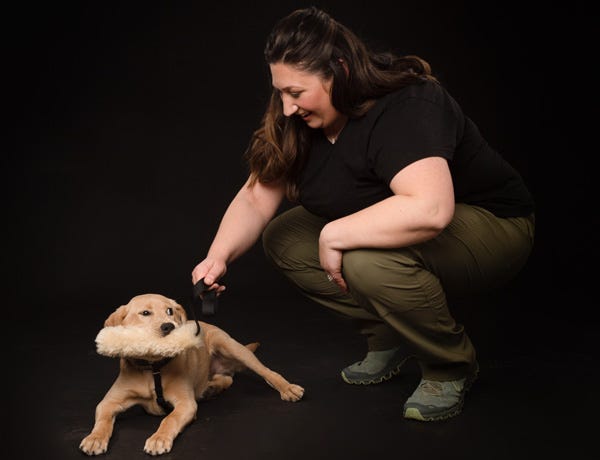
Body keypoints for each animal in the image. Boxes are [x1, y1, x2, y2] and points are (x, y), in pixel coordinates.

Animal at [79, 292, 304, 454]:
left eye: (170, 311)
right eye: (145, 313)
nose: (169, 326)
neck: (154, 369)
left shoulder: (185, 404)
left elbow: (169, 419)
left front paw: (159, 438)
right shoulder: (109, 402)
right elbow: (103, 420)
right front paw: (94, 438)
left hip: (232, 347)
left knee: (266, 372)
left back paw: (288, 388)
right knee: (226, 378)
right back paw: (212, 388)